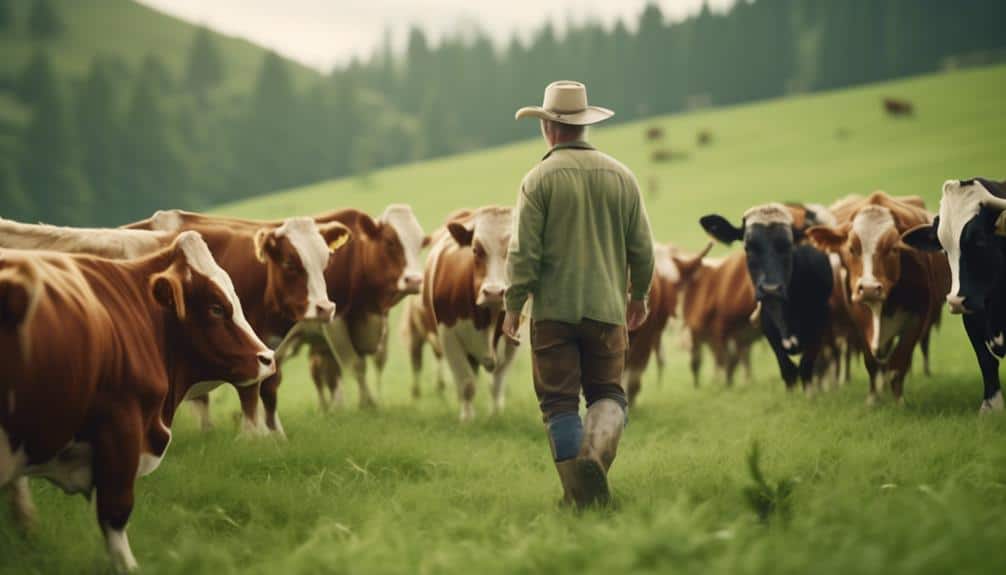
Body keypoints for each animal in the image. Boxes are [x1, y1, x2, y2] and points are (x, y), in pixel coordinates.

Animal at [126, 213, 351, 435]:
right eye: (289, 263)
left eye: (326, 261)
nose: (325, 308)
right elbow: (250, 395)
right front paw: (257, 436)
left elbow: (269, 389)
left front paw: (276, 435)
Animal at [403, 207, 516, 421]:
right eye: (476, 250)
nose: (495, 292)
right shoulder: (448, 335)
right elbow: (466, 383)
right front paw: (467, 419)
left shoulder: (513, 343)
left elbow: (496, 384)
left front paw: (495, 415)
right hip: (415, 334)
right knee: (416, 364)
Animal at [701, 204, 835, 392]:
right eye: (748, 247)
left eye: (788, 245)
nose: (770, 289)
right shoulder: (767, 323)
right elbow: (788, 371)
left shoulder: (819, 322)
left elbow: (806, 368)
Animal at [807, 191, 950, 404]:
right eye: (851, 248)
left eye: (893, 248)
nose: (868, 288)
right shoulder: (858, 322)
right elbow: (872, 363)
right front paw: (873, 399)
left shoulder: (918, 318)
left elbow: (899, 362)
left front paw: (899, 400)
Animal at [902, 178, 1006, 412]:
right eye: (944, 248)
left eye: (980, 240)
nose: (956, 300)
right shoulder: (971, 319)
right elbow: (986, 360)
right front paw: (992, 406)